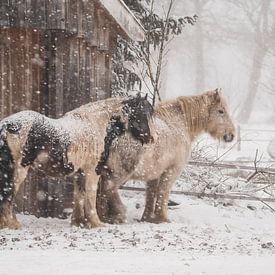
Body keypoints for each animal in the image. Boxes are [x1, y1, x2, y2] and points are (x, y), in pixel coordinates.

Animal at [0, 94, 153, 230]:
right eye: (140, 114)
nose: (150, 138)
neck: (96, 125)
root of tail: (7, 126)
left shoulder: (80, 172)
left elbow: (79, 195)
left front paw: (79, 222)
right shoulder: (92, 171)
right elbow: (90, 195)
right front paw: (96, 223)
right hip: (18, 171)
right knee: (9, 195)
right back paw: (11, 224)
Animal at [96, 89, 236, 225]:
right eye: (221, 111)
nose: (231, 135)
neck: (179, 123)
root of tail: (116, 128)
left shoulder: (154, 174)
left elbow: (151, 194)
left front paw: (147, 218)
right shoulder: (171, 171)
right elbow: (163, 193)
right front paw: (163, 218)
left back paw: (103, 216)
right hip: (121, 172)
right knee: (109, 187)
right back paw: (118, 214)